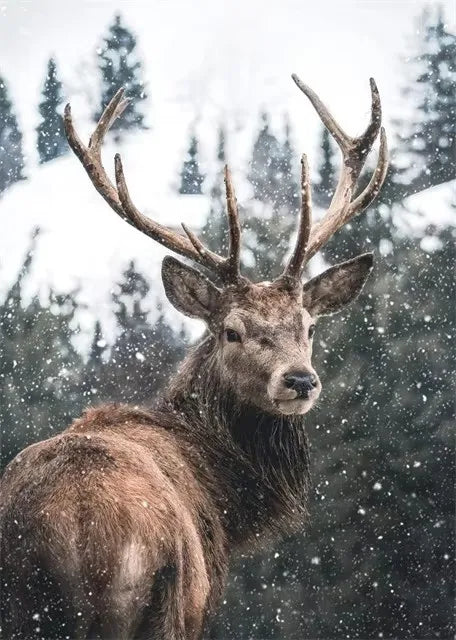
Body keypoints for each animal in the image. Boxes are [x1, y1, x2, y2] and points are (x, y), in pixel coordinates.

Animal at [1, 74, 388, 640]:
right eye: (232, 331)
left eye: (310, 326)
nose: (299, 380)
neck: (223, 499)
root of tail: (70, 534)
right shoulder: (197, 602)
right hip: (153, 600)